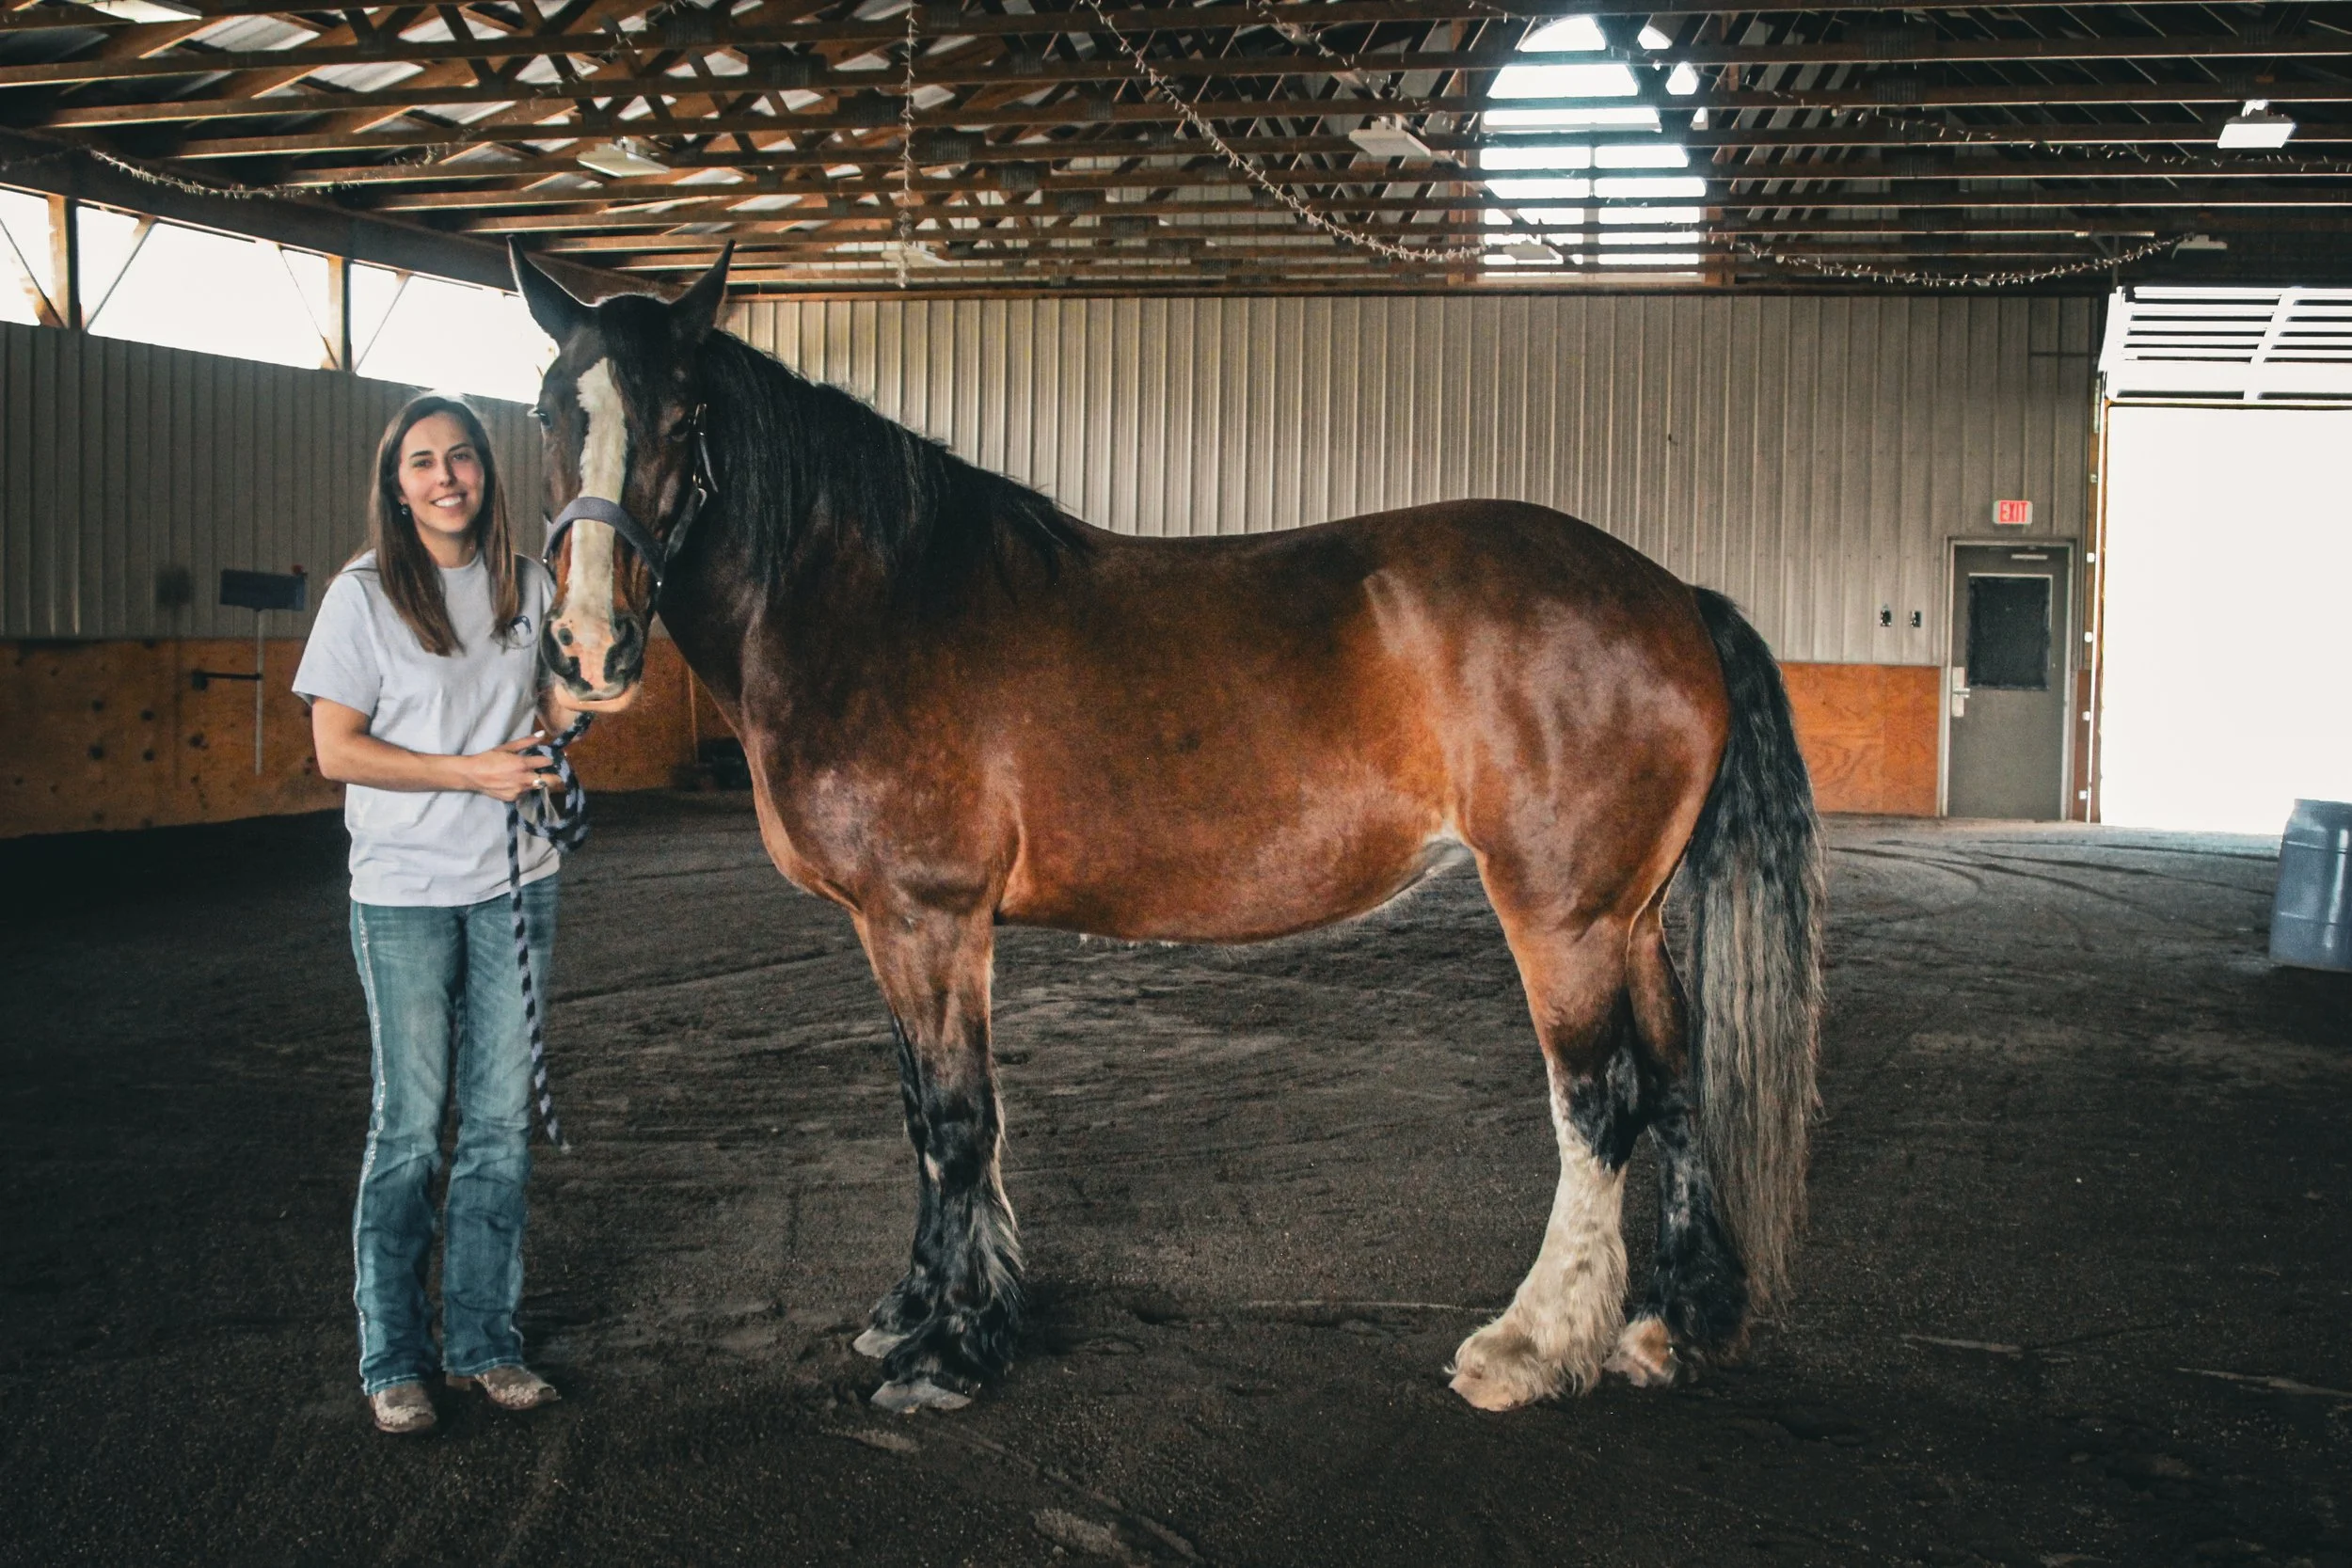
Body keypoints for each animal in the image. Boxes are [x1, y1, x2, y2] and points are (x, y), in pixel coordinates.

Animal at [510, 241, 1824, 1416]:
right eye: (547, 411)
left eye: (685, 419)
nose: (589, 648)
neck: (873, 599)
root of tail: (1672, 597)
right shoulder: (889, 927)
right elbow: (923, 1114)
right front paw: (916, 1307)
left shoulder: (929, 917)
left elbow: (957, 1122)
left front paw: (952, 1350)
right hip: (1628, 916)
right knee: (1674, 1079)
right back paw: (1668, 1324)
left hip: (1561, 915)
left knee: (1599, 1102)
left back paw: (1531, 1345)